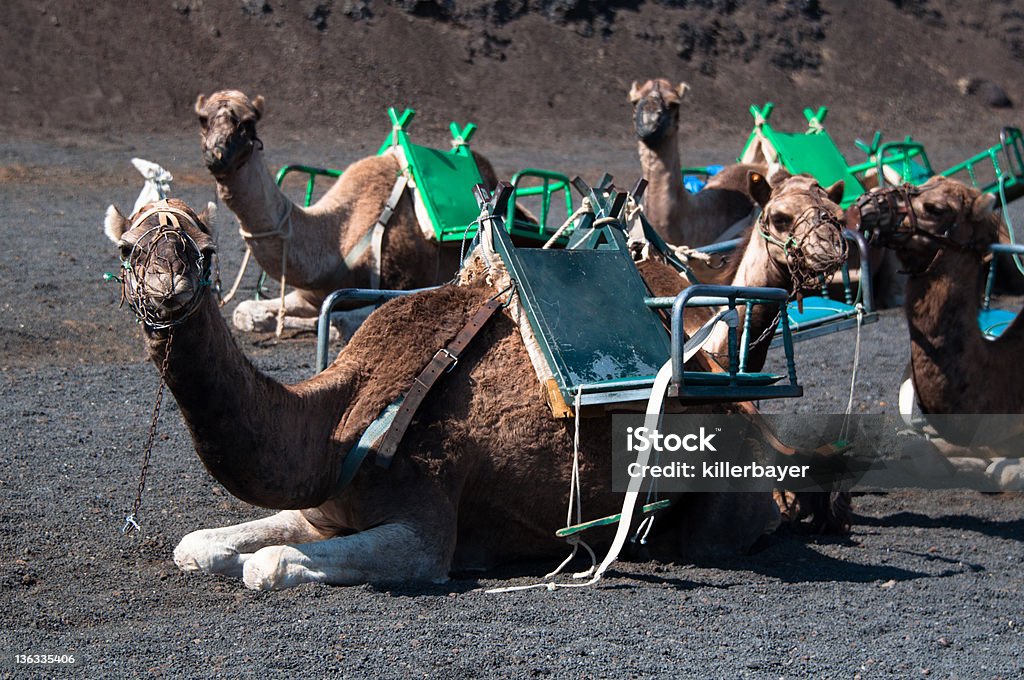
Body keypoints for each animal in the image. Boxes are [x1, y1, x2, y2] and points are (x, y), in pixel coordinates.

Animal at [103, 196, 835, 589]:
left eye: (204, 251)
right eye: (128, 250)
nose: (166, 285)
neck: (338, 421)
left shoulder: (426, 530)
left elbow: (270, 565)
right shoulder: (324, 511)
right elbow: (199, 547)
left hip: (720, 504)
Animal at [190, 90, 512, 333]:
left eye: (247, 123)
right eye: (203, 119)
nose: (216, 154)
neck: (335, 240)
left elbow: (339, 321)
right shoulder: (308, 293)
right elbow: (243, 312)